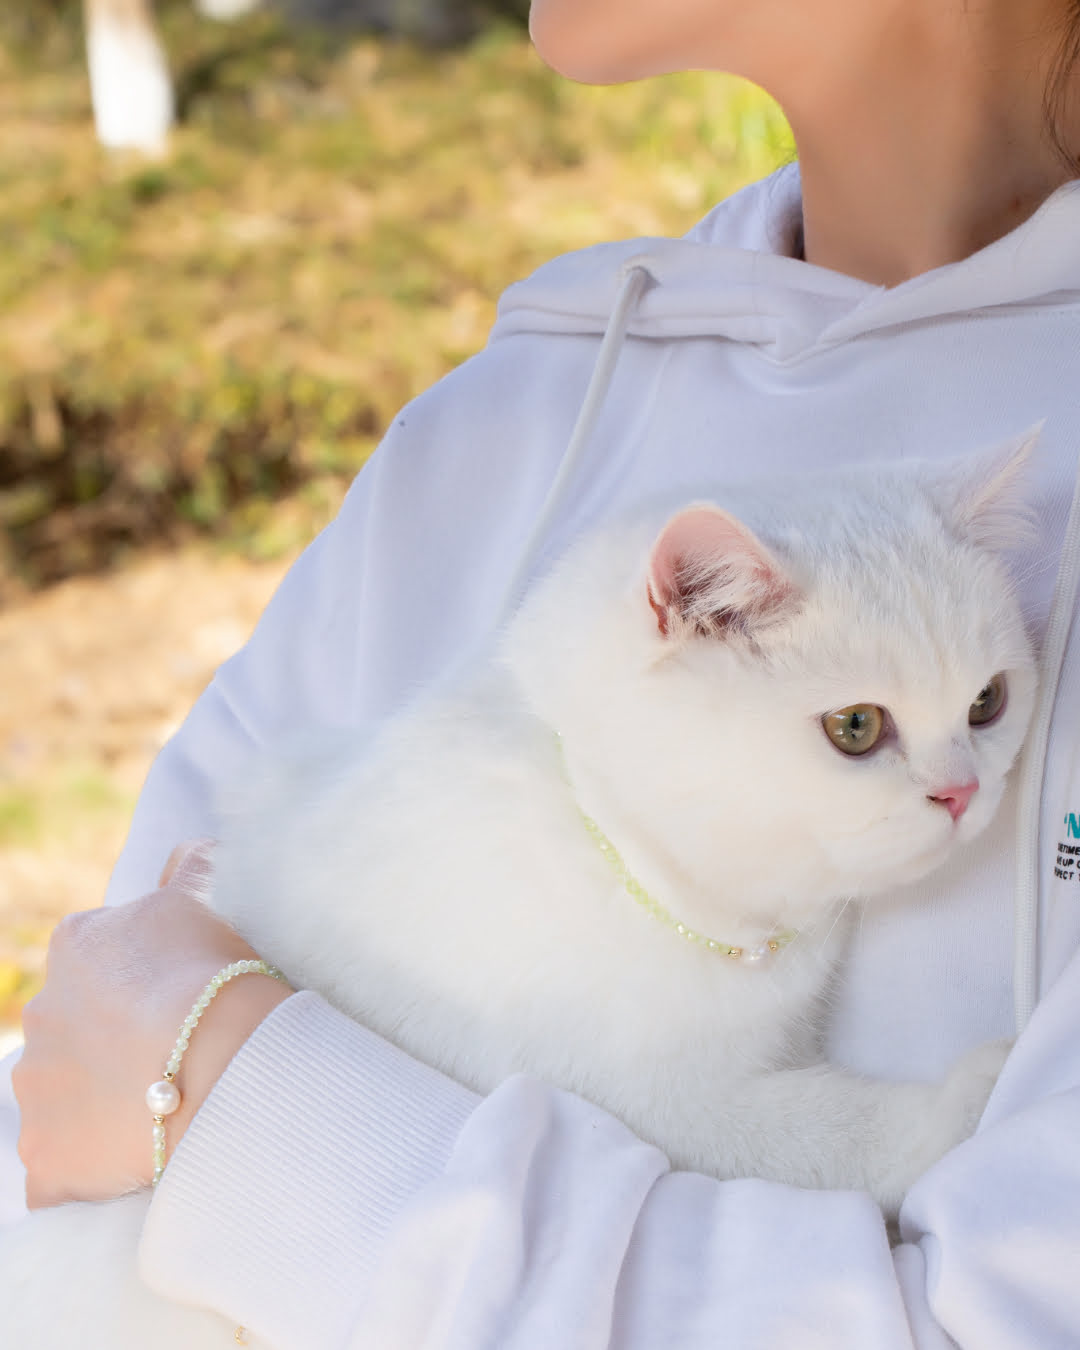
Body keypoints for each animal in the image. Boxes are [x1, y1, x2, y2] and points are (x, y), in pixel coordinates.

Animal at [2, 434, 1047, 1350]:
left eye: (987, 703)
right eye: (857, 727)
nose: (964, 792)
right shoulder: (657, 1106)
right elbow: (822, 1132)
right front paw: (967, 1099)